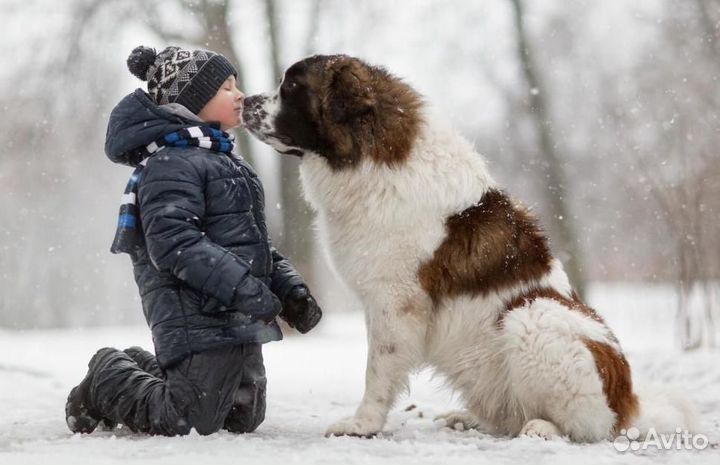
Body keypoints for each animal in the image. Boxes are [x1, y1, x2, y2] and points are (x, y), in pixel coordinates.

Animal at [243, 55, 696, 442]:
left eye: (292, 86)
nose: (246, 100)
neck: (370, 157)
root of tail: (630, 404)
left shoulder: (395, 301)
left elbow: (378, 368)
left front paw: (362, 423)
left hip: (536, 316)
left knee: (590, 426)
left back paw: (543, 428)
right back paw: (469, 419)